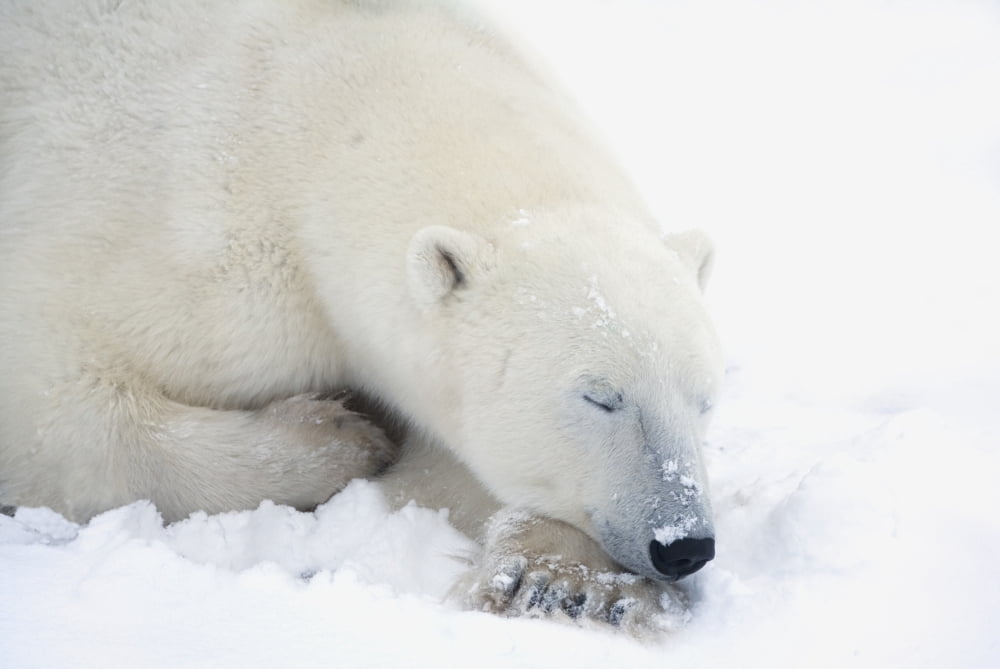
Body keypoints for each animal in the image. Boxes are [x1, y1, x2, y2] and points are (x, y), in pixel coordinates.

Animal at [0, 0, 722, 633]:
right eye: (600, 396)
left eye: (705, 399)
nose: (683, 543)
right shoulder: (181, 236)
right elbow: (52, 401)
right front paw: (340, 434)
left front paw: (568, 581)